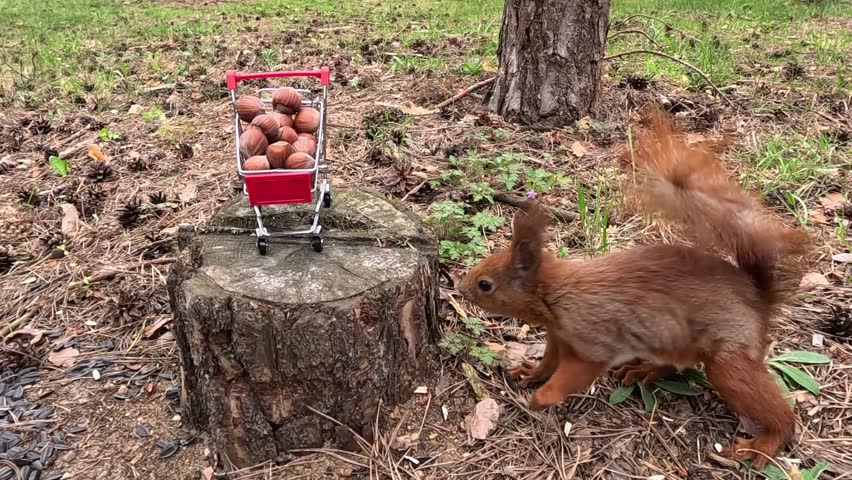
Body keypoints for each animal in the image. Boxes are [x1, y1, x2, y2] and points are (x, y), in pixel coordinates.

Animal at [457, 109, 809, 469]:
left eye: (485, 284)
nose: (460, 289)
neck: (555, 295)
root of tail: (759, 299)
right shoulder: (558, 336)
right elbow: (549, 362)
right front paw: (531, 372)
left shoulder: (592, 341)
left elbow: (574, 375)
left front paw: (539, 400)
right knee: (677, 362)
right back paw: (643, 370)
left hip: (729, 358)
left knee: (775, 410)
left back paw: (764, 443)